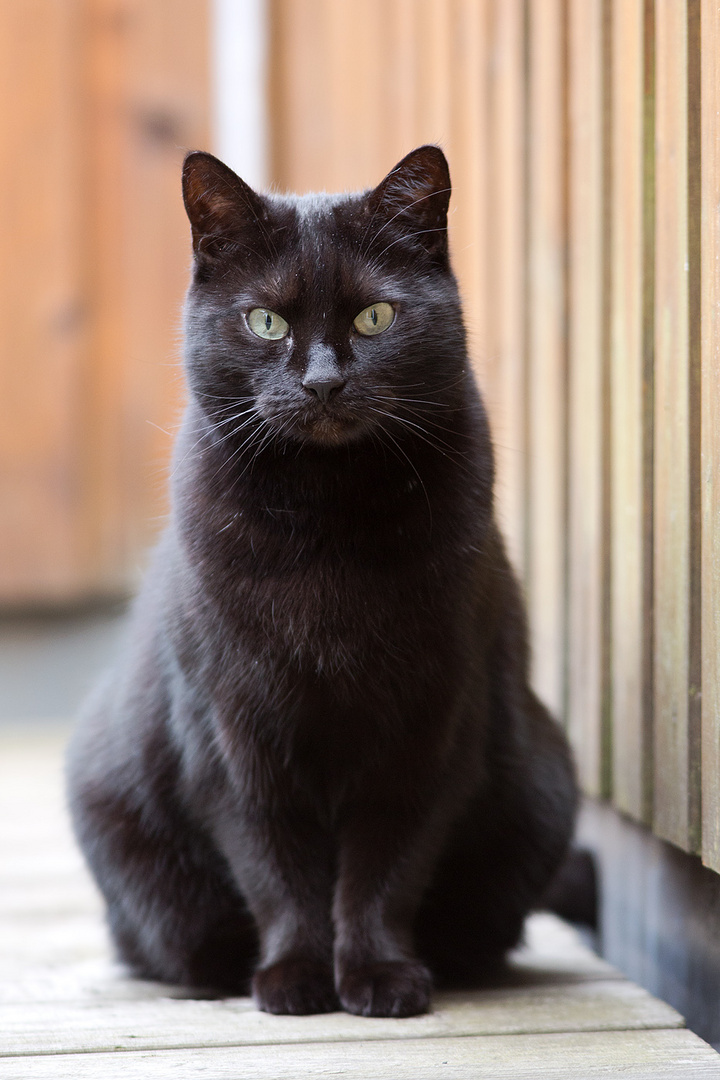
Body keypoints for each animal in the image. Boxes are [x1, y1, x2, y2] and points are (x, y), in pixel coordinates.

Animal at [66, 147, 574, 1015]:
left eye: (375, 318)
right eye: (266, 322)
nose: (325, 382)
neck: (326, 519)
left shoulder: (430, 726)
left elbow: (385, 868)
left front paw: (379, 975)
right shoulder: (232, 736)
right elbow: (278, 868)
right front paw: (297, 976)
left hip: (543, 792)